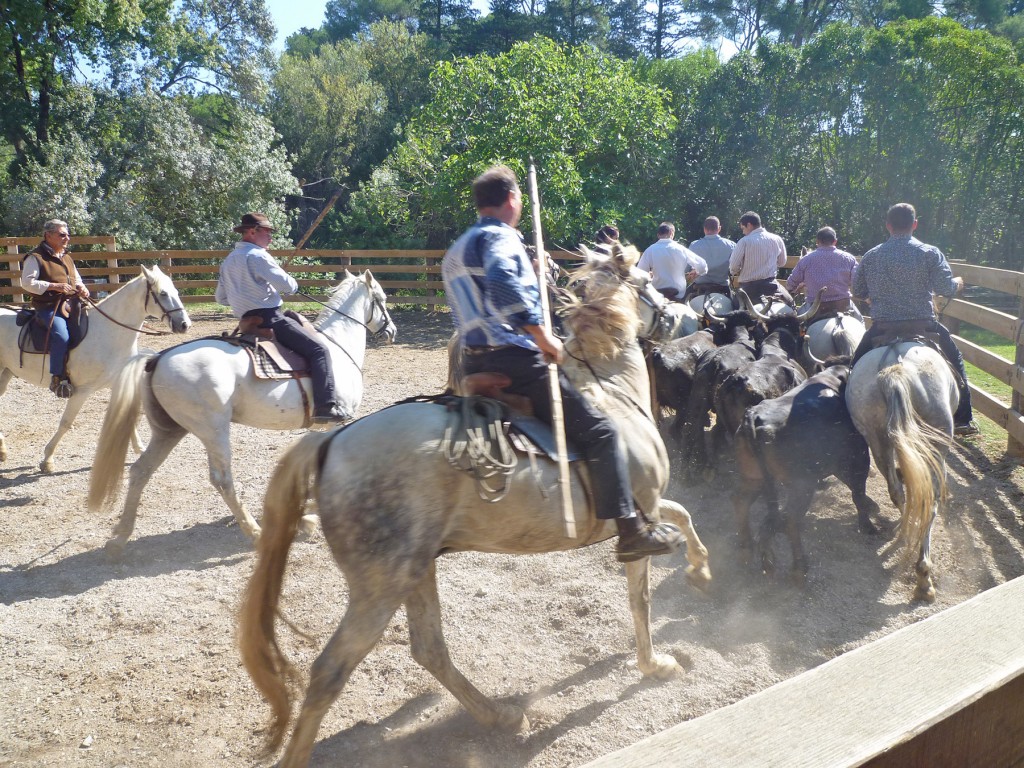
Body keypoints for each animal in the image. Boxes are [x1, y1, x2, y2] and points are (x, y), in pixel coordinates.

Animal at [0, 268, 191, 473]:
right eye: (163, 293)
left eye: (176, 291)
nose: (185, 324)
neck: (108, 332)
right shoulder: (81, 391)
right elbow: (66, 423)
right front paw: (47, 459)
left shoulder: (117, 383)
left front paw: (140, 450)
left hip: (5, 373)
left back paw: (2, 450)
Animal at [88, 270, 395, 552]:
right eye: (381, 298)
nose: (391, 331)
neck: (335, 345)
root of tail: (158, 358)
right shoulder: (335, 422)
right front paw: (312, 513)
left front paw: (305, 512)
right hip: (213, 431)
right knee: (222, 479)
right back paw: (255, 532)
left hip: (169, 431)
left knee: (141, 470)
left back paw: (121, 536)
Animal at [239, 253, 712, 768]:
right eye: (648, 280)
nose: (682, 314)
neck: (611, 391)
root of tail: (332, 443)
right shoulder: (639, 512)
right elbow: (643, 593)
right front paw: (656, 663)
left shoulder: (645, 508)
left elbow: (684, 516)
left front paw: (700, 572)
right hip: (379, 588)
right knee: (331, 670)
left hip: (415, 570)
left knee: (429, 649)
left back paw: (500, 715)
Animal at [843, 346, 954, 606]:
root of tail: (895, 368)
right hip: (935, 444)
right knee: (928, 503)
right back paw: (924, 580)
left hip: (877, 439)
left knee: (896, 490)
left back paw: (906, 531)